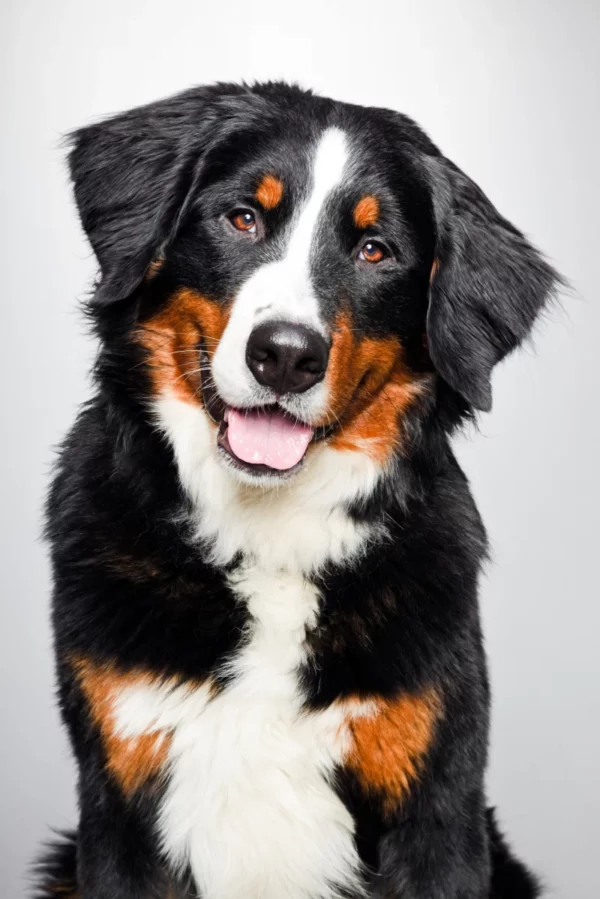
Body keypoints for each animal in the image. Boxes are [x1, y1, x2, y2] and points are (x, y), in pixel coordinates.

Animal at [35, 81, 560, 896]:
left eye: (375, 251)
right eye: (242, 218)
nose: (285, 355)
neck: (269, 537)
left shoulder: (436, 805)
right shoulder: (121, 793)